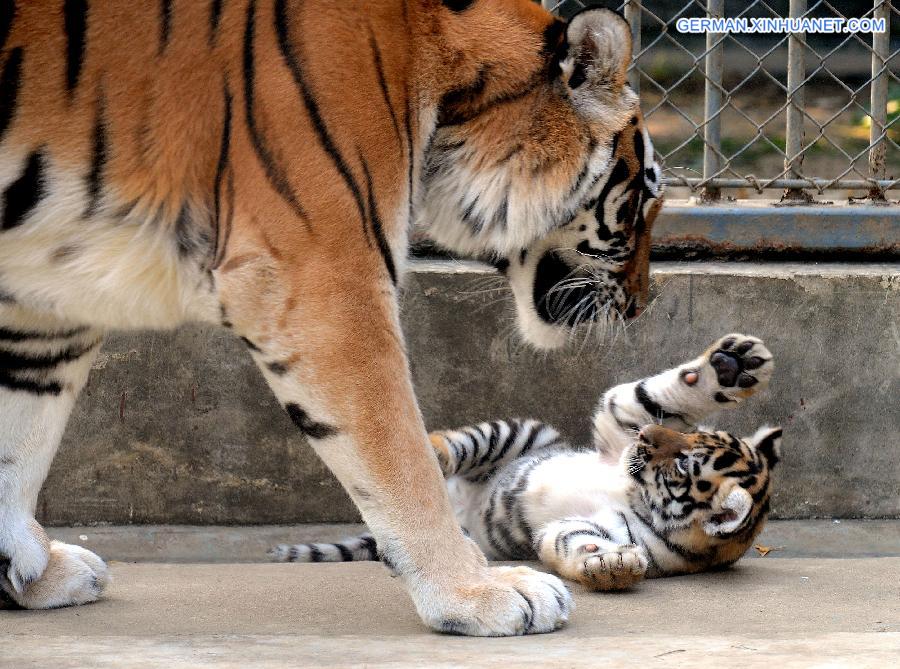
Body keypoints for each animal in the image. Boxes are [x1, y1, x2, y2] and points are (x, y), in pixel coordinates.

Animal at [0, 1, 660, 636]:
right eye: (647, 198)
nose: (641, 305)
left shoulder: (43, 309)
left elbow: (19, 443)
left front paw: (32, 576)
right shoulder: (328, 279)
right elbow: (404, 459)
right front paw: (479, 594)